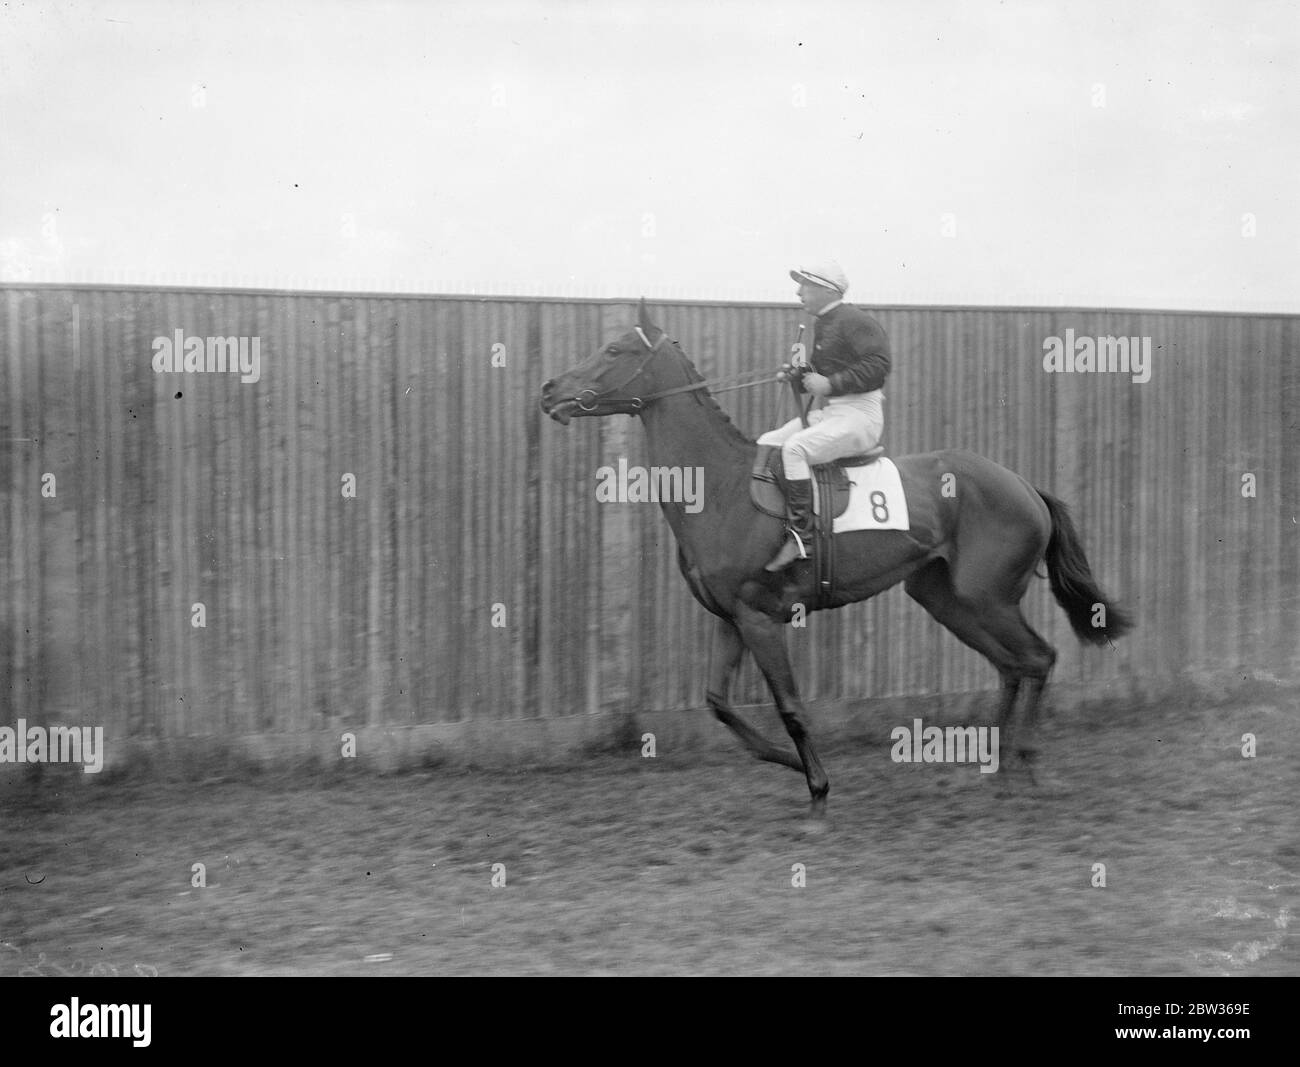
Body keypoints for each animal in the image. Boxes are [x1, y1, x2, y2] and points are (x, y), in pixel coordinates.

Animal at [538, 295, 1128, 810]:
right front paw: (787, 761)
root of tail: (1024, 486)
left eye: (614, 350)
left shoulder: (760, 619)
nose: (548, 390)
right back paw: (995, 770)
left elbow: (791, 708)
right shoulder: (731, 618)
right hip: (948, 600)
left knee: (1038, 658)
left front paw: (818, 787)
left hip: (989, 599)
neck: (723, 487)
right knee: (1010, 665)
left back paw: (1024, 762)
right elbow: (719, 703)